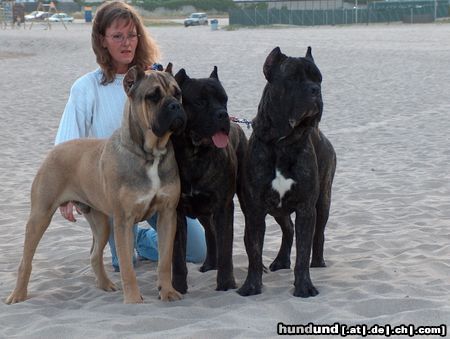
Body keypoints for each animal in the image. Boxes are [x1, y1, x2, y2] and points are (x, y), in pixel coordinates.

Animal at [5, 65, 185, 306]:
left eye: (178, 93)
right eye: (153, 96)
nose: (175, 106)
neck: (150, 154)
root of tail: (55, 149)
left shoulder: (167, 215)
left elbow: (165, 261)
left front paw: (167, 291)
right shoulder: (123, 221)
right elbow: (127, 267)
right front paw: (133, 300)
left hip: (101, 223)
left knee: (94, 255)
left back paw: (105, 284)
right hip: (40, 216)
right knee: (26, 260)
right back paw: (18, 295)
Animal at [171, 67, 248, 294]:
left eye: (224, 99)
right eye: (200, 102)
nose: (223, 114)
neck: (194, 154)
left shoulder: (223, 207)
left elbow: (226, 248)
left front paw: (226, 283)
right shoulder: (176, 211)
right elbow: (177, 255)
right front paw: (177, 287)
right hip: (202, 211)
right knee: (210, 233)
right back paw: (209, 264)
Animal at [237, 47, 336, 298]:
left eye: (319, 79)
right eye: (292, 78)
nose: (315, 90)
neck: (283, 141)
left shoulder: (306, 208)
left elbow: (303, 251)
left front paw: (304, 286)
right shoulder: (255, 210)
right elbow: (254, 252)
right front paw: (251, 286)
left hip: (323, 201)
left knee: (318, 233)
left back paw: (317, 261)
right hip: (277, 210)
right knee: (288, 229)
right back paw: (281, 260)